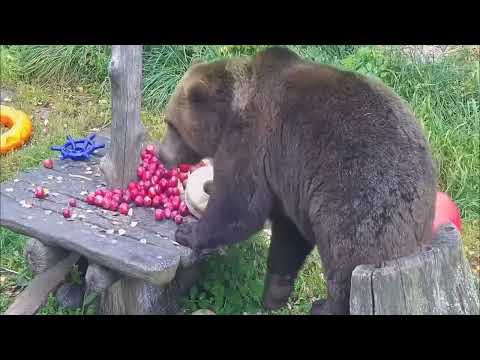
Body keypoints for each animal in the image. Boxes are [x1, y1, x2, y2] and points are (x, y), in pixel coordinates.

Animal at [156, 46, 436, 314]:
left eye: (171, 124)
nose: (161, 154)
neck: (231, 111)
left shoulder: (252, 141)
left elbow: (238, 207)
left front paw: (188, 231)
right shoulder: (289, 186)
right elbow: (288, 235)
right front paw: (274, 293)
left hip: (360, 203)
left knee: (346, 264)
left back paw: (325, 306)